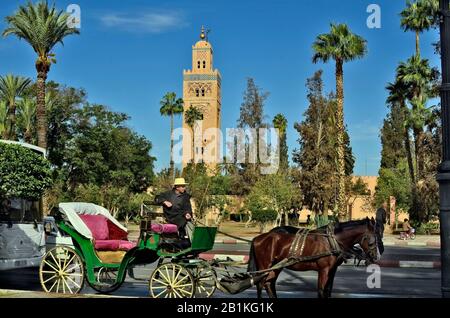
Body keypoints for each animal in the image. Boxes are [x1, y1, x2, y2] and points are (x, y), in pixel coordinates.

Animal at [246, 217, 380, 300]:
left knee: (269, 284)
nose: (375, 257)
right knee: (260, 285)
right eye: (373, 240)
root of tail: (257, 238)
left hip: (276, 266)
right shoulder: (324, 269)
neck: (332, 240)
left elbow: (328, 290)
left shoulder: (332, 269)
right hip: (265, 266)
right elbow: (321, 291)